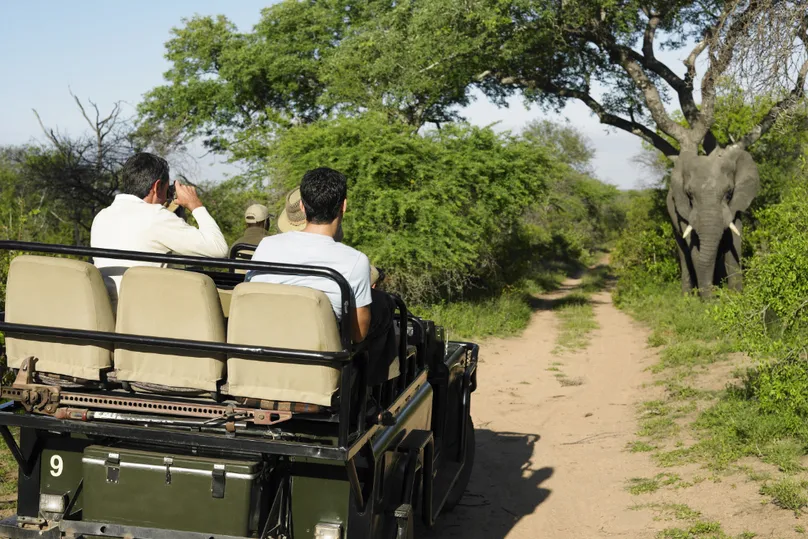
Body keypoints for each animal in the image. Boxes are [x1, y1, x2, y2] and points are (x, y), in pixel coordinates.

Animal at [664, 148, 760, 298]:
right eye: (689, 194)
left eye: (729, 192)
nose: (715, 295)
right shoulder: (684, 212)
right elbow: (694, 248)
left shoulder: (734, 207)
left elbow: (734, 242)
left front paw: (735, 297)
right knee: (684, 255)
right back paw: (687, 297)